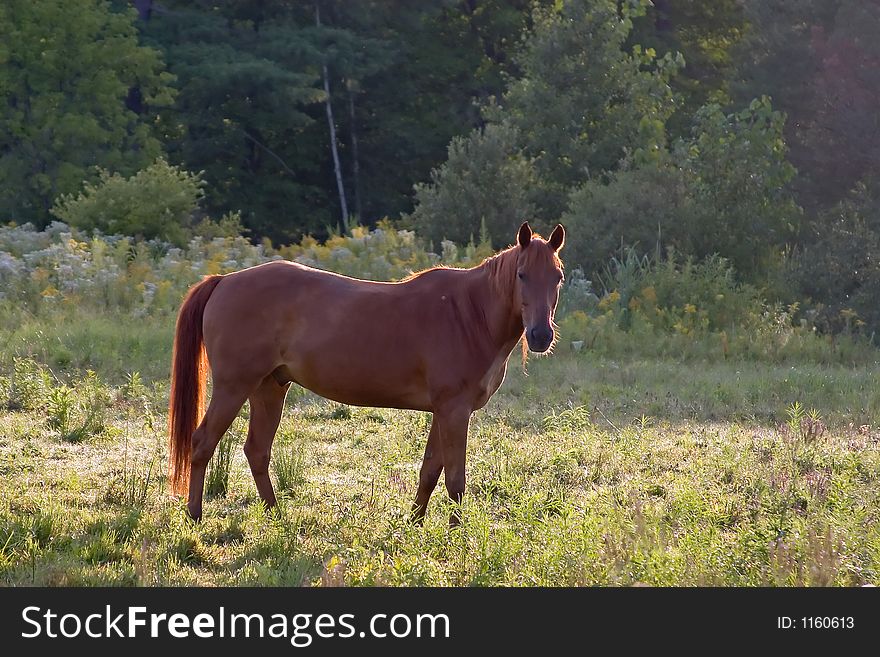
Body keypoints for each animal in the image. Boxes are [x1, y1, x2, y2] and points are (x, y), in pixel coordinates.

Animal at [167, 220, 564, 524]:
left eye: (557, 277)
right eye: (522, 274)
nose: (541, 336)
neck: (467, 314)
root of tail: (224, 280)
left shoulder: (443, 411)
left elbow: (430, 471)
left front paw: (414, 524)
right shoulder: (454, 410)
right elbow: (455, 479)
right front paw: (455, 533)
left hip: (269, 388)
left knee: (257, 451)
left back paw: (276, 516)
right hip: (233, 387)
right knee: (202, 443)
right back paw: (195, 517)